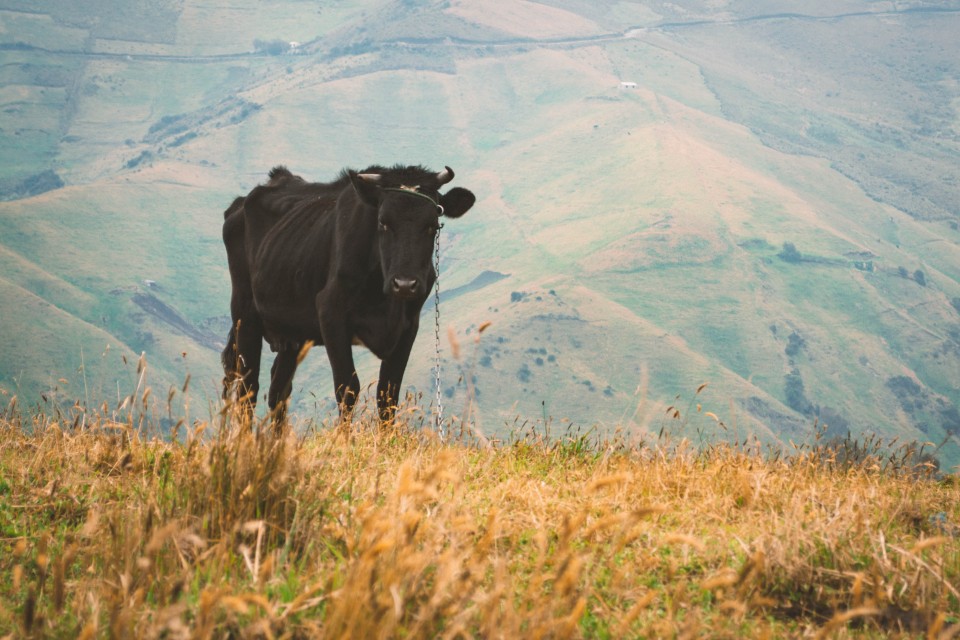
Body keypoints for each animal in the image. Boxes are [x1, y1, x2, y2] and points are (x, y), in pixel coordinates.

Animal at [218, 165, 472, 424]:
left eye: (432, 225)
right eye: (383, 223)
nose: (404, 284)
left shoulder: (409, 326)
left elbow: (388, 393)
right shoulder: (331, 315)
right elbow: (348, 387)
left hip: (291, 334)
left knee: (279, 390)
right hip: (245, 315)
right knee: (248, 389)